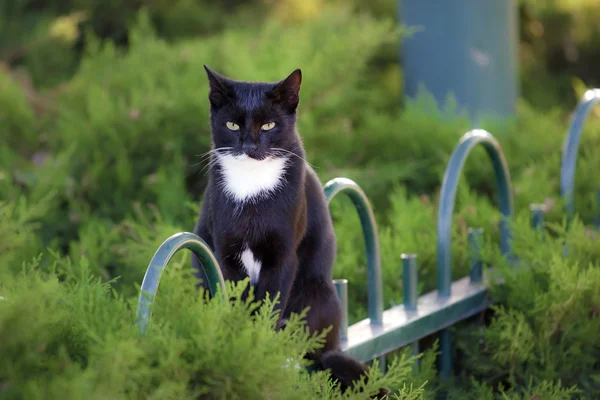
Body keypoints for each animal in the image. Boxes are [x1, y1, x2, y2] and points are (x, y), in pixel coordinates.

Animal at [192, 65, 390, 396]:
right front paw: (238, 346)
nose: (249, 146)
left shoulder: (283, 254)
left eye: (269, 125)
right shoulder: (225, 252)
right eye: (232, 124)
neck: (251, 187)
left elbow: (271, 302)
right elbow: (236, 298)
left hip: (317, 292)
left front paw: (262, 350)